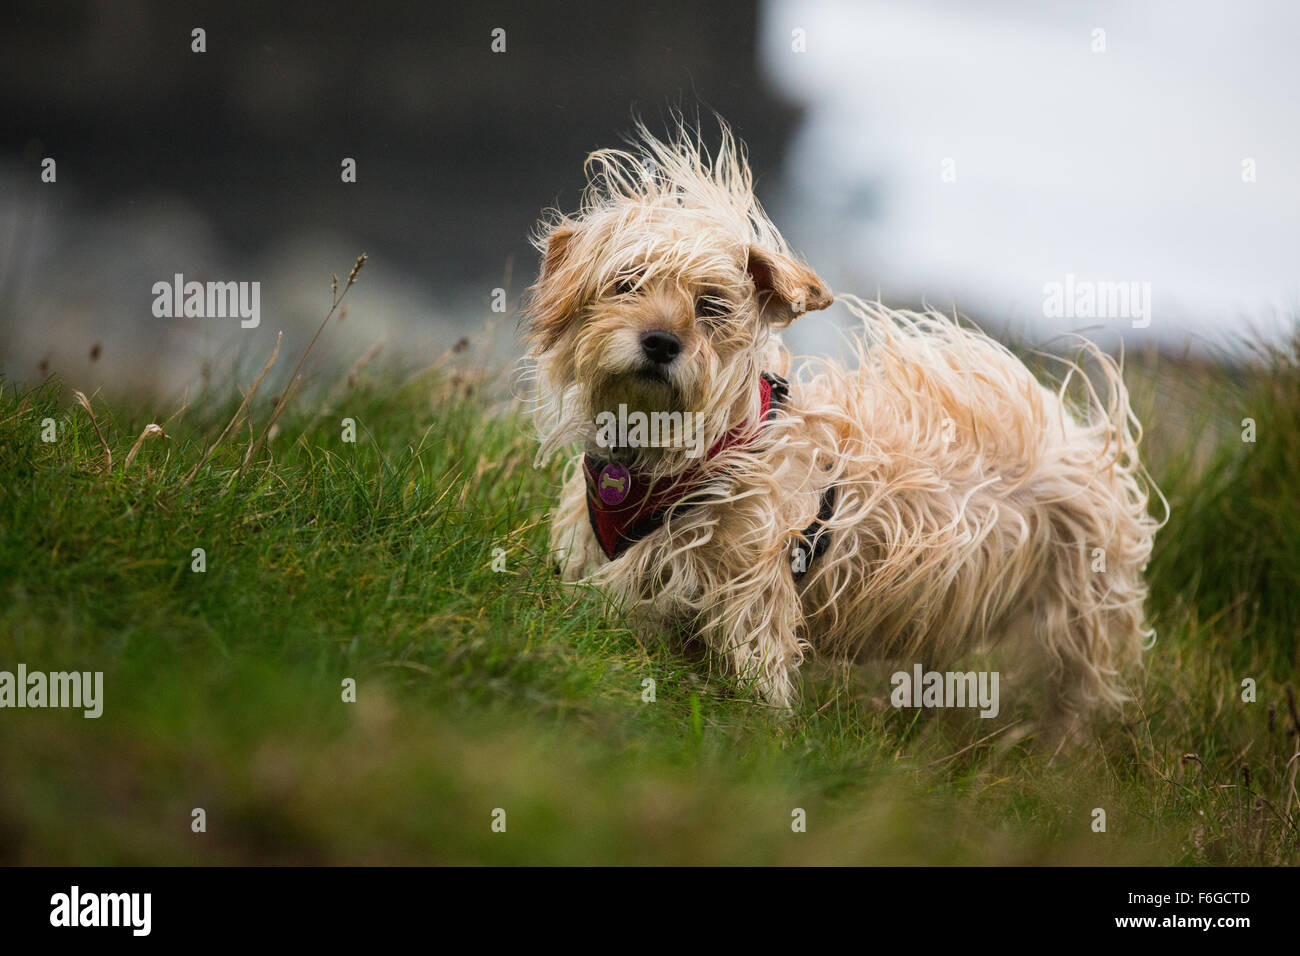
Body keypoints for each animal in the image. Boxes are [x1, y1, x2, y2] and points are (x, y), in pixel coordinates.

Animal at [522, 119, 1164, 733]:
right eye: (626, 283)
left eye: (711, 306)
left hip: (1078, 615)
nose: (660, 341)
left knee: (1072, 700)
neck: (686, 453)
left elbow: (755, 675)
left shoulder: (755, 589)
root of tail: (1085, 442)